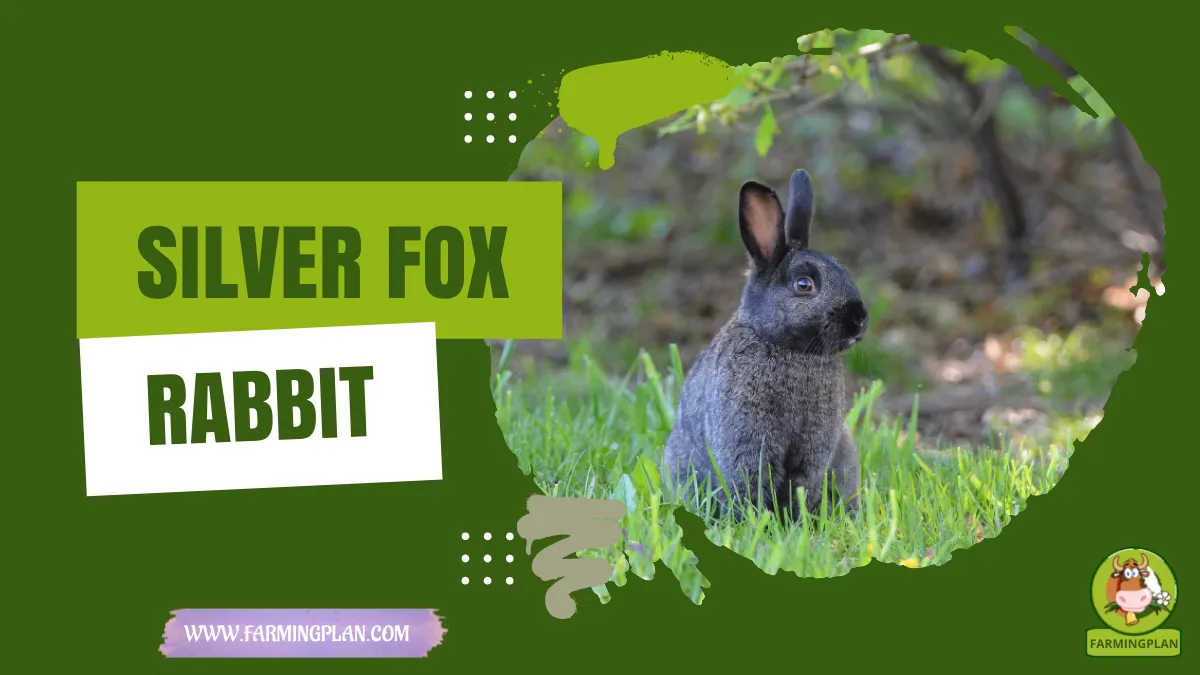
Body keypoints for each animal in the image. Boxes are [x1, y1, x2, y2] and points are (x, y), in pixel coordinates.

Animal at [663, 169, 867, 522]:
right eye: (804, 284)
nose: (860, 319)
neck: (788, 349)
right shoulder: (747, 443)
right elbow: (752, 484)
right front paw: (757, 523)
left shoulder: (814, 450)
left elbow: (802, 485)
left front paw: (794, 523)